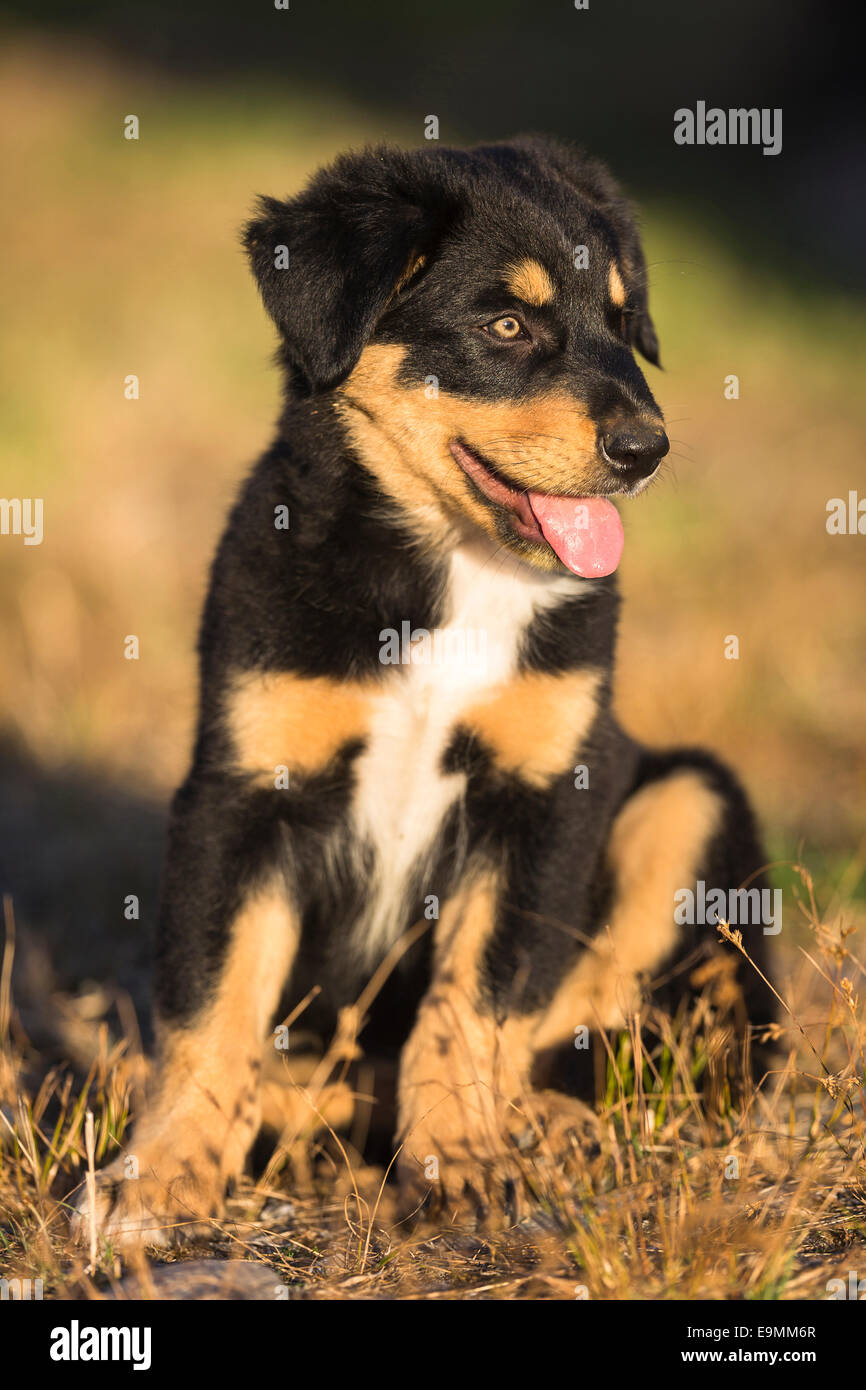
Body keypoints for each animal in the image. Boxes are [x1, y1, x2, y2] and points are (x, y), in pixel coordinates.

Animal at [74, 138, 778, 1251]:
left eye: (621, 321)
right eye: (506, 324)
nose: (646, 450)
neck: (452, 571)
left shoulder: (542, 795)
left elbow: (476, 1000)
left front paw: (463, 1165)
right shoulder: (242, 793)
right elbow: (211, 1007)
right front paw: (160, 1180)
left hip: (686, 796)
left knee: (615, 1029)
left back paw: (538, 1126)